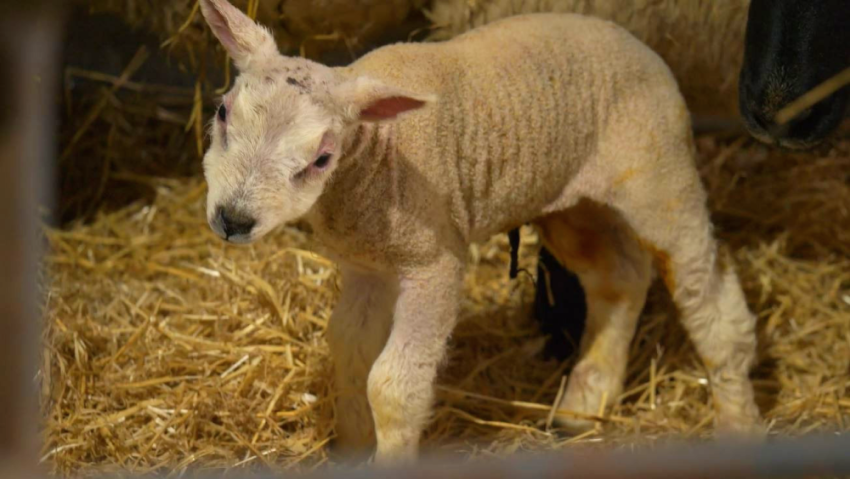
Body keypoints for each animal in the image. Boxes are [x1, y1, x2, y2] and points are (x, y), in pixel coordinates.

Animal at [197, 0, 760, 466]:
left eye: (321, 158)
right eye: (222, 112)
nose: (233, 219)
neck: (376, 154)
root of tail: (641, 44)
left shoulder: (434, 264)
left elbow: (393, 386)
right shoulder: (367, 266)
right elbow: (351, 354)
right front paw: (351, 449)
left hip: (660, 176)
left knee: (708, 300)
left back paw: (738, 423)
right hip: (568, 202)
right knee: (618, 277)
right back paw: (584, 404)